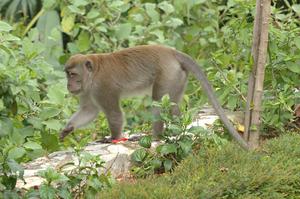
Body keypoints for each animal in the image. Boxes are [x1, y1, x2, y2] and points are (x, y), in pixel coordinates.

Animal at [61, 44, 248, 148]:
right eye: (67, 74)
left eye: (73, 74)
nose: (68, 85)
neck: (93, 75)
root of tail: (172, 52)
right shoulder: (87, 90)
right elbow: (89, 110)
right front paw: (68, 128)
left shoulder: (102, 88)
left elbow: (114, 114)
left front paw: (113, 138)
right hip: (178, 77)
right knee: (173, 107)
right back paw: (177, 129)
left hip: (168, 75)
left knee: (159, 103)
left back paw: (155, 136)